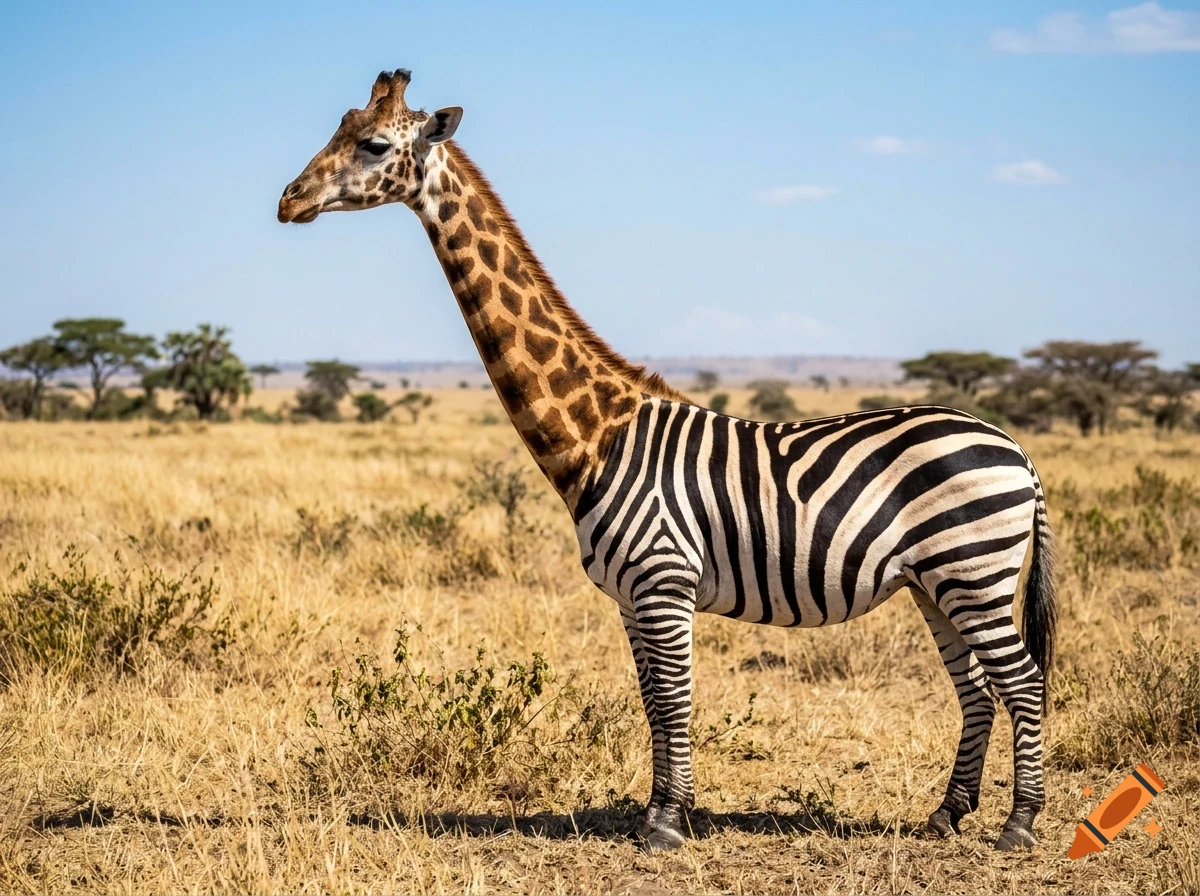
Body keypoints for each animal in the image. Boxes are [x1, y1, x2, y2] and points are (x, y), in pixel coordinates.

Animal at [573, 398, 1056, 853]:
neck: (613, 451)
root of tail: (1013, 446)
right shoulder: (631, 599)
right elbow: (652, 704)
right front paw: (654, 814)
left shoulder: (664, 580)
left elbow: (672, 701)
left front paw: (668, 820)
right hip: (940, 585)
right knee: (977, 691)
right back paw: (949, 811)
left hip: (974, 573)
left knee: (1022, 681)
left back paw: (1020, 821)